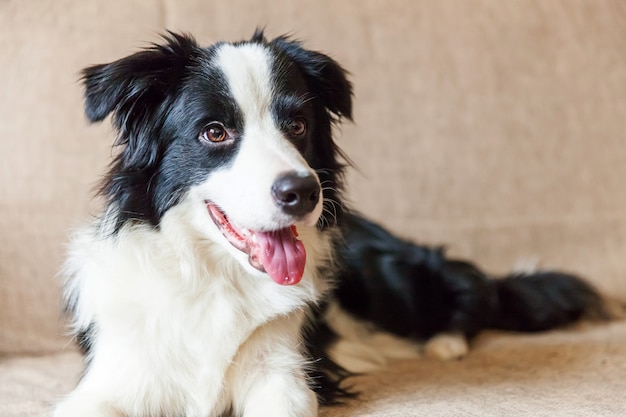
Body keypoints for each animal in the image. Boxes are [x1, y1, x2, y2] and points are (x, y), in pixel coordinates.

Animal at [54, 30, 604, 414]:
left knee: (474, 291)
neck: (215, 279)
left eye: (298, 125)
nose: (303, 192)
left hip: (396, 280)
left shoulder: (283, 374)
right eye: (214, 132)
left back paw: (444, 343)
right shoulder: (113, 379)